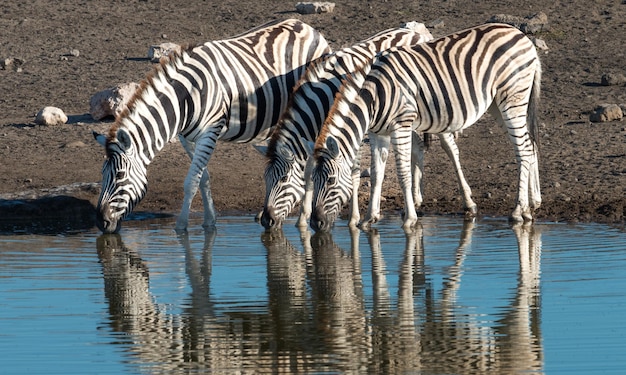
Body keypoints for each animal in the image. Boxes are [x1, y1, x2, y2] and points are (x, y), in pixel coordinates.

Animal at [91, 19, 332, 235]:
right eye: (102, 173)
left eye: (120, 175)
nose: (101, 223)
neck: (184, 98)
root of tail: (307, 27)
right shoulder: (186, 137)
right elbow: (203, 177)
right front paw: (210, 221)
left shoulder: (210, 132)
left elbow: (191, 181)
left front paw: (182, 227)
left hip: (313, 111)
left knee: (309, 164)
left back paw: (302, 219)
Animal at [252, 22, 472, 229]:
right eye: (265, 179)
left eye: (283, 180)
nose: (266, 221)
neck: (320, 97)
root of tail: (415, 33)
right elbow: (309, 170)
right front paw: (303, 219)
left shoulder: (349, 128)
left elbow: (354, 171)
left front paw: (353, 219)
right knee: (417, 146)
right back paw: (416, 198)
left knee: (450, 148)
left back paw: (467, 201)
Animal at [310, 23, 540, 232]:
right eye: (313, 180)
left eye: (330, 181)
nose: (315, 223)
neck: (375, 96)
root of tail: (520, 35)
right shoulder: (378, 133)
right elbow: (376, 174)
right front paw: (369, 218)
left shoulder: (401, 125)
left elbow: (403, 172)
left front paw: (410, 219)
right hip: (498, 104)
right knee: (530, 146)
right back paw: (531, 207)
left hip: (512, 98)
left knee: (522, 150)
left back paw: (517, 211)